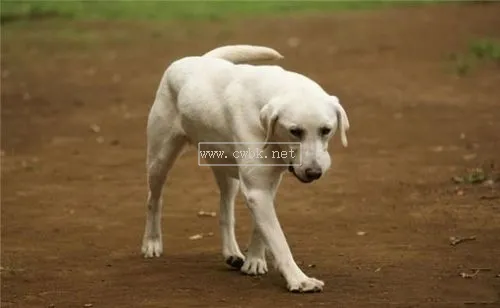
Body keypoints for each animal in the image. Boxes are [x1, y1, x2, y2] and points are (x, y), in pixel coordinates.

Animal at [141, 44, 350, 292]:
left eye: (326, 130)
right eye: (295, 131)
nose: (314, 173)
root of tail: (197, 59)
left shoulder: (267, 184)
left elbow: (261, 229)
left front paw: (255, 261)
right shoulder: (257, 190)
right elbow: (279, 240)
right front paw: (299, 280)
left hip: (225, 168)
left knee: (225, 208)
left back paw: (231, 253)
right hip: (160, 159)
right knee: (154, 199)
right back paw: (152, 243)